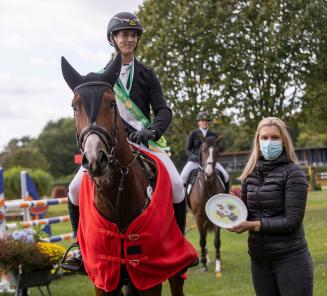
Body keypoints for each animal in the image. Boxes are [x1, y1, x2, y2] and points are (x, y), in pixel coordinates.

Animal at [61, 53, 196, 296]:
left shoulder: (150, 278)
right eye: (75, 106)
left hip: (173, 269)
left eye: (112, 103)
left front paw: (143, 134)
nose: (95, 160)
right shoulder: (104, 278)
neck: (117, 198)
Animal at [188, 136, 227, 278]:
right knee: (202, 237)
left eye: (217, 151)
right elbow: (202, 240)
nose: (208, 173)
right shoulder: (198, 217)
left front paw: (218, 265)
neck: (207, 187)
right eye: (203, 150)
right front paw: (204, 265)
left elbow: (217, 241)